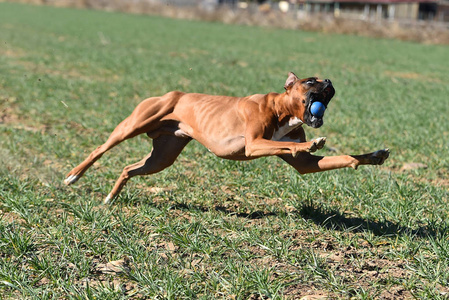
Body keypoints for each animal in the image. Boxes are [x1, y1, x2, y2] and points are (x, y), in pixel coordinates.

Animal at [64, 72, 388, 204]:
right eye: (311, 81)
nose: (330, 81)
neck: (281, 109)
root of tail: (172, 94)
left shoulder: (304, 164)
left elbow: (342, 158)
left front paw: (373, 156)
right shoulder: (255, 144)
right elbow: (282, 142)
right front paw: (313, 142)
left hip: (162, 157)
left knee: (129, 168)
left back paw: (110, 198)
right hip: (130, 127)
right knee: (98, 149)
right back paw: (72, 177)